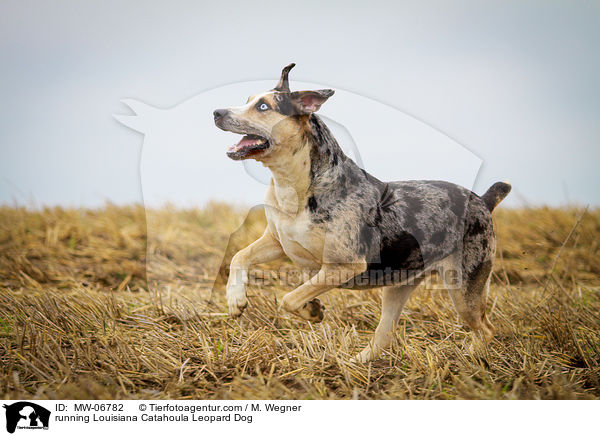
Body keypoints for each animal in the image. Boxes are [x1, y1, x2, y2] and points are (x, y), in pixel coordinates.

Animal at [212, 63, 510, 362]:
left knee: (487, 329)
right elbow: (240, 257)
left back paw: (473, 358)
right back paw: (355, 363)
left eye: (263, 106)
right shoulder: (277, 242)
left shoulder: (345, 265)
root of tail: (482, 201)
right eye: (248, 99)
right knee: (384, 335)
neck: (296, 184)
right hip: (398, 287)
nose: (216, 112)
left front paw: (311, 309)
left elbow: (289, 298)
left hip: (464, 288)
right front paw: (236, 301)